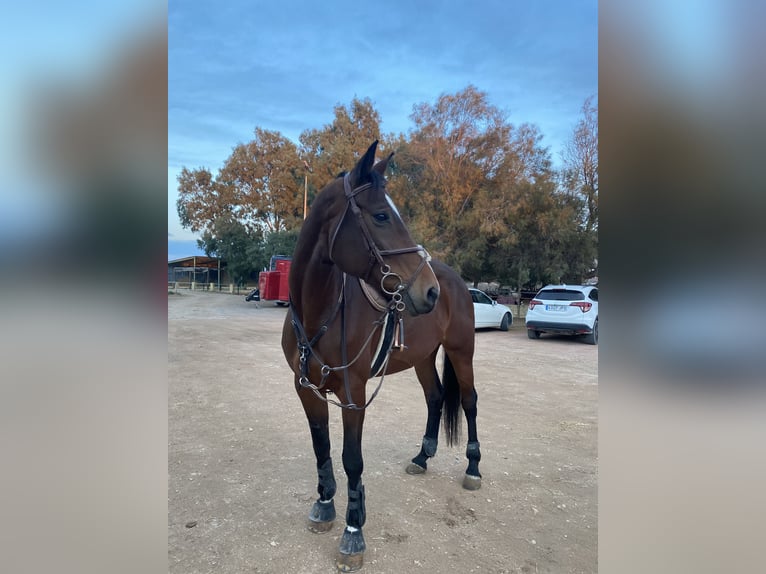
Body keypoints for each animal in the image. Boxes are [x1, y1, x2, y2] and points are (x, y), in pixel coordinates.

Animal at [281, 140, 482, 572]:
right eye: (381, 215)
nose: (428, 291)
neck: (320, 310)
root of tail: (454, 280)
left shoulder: (353, 393)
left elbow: (351, 459)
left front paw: (353, 531)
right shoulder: (306, 388)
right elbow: (321, 448)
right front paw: (324, 504)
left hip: (462, 352)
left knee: (470, 402)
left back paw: (474, 468)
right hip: (423, 358)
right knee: (435, 397)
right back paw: (422, 458)